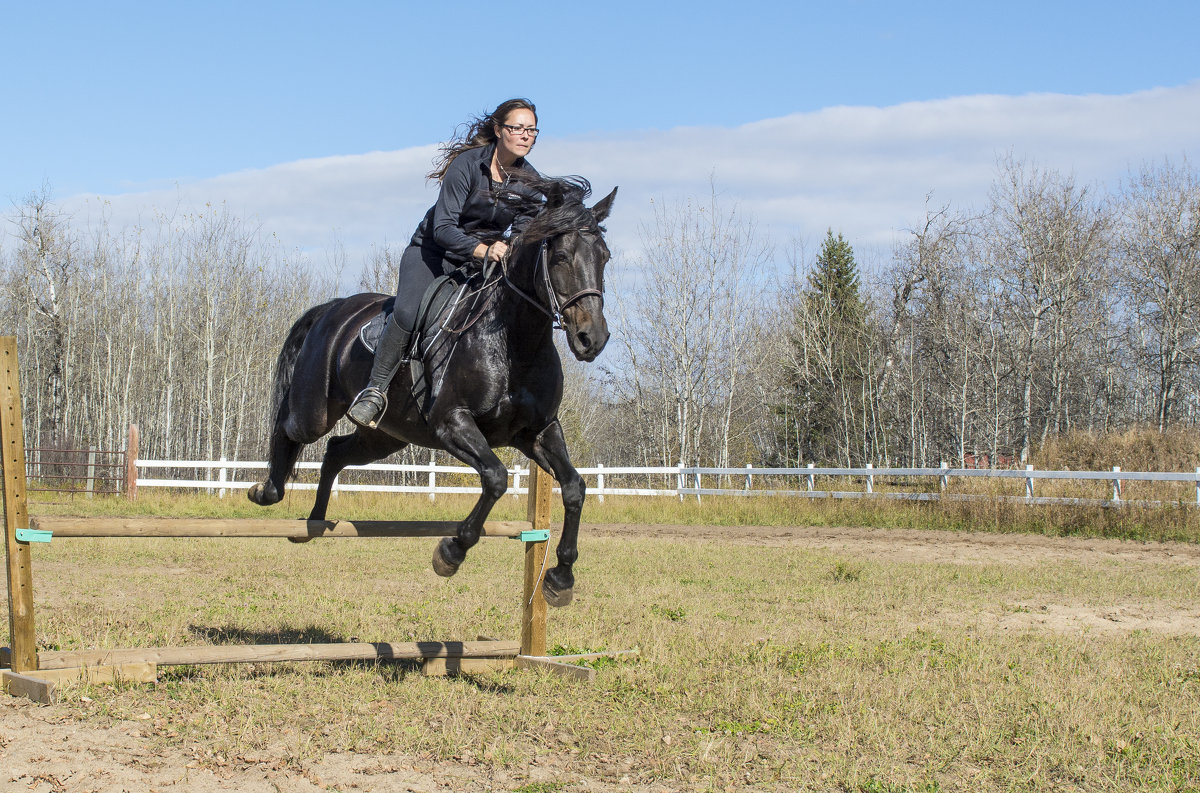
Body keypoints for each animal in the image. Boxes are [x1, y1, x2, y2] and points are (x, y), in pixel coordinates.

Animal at [247, 175, 614, 607]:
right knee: (288, 429)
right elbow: (496, 477)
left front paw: (560, 577)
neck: (514, 340)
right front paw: (451, 551)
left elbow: (574, 487)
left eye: (605, 257)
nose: (592, 339)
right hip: (315, 410)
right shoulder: (451, 423)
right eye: (560, 257)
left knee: (335, 451)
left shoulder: (537, 431)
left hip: (388, 435)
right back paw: (266, 491)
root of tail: (333, 309)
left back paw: (314, 521)